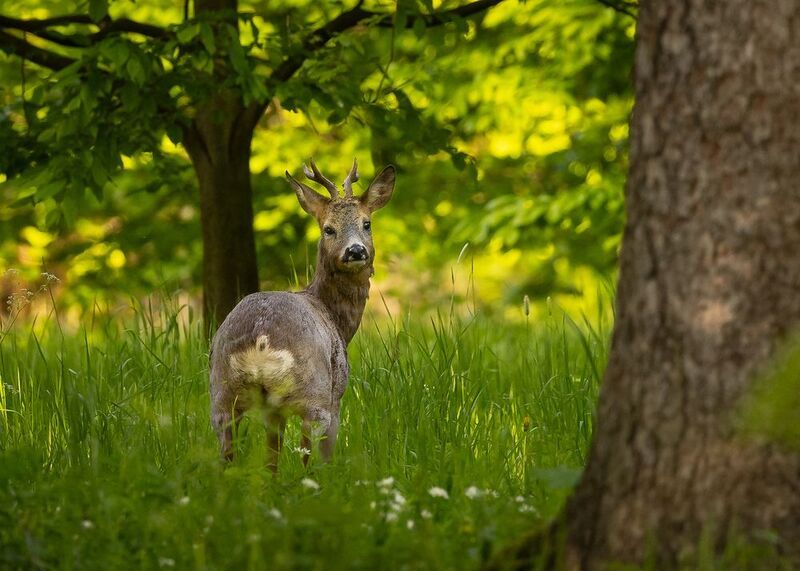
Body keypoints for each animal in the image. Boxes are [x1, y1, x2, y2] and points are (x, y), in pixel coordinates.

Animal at [209, 158, 395, 470]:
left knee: (231, 456)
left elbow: (271, 459)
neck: (334, 316)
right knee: (307, 460)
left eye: (366, 223)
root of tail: (261, 339)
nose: (356, 251)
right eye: (329, 229)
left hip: (222, 392)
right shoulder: (336, 393)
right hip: (314, 395)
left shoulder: (272, 413)